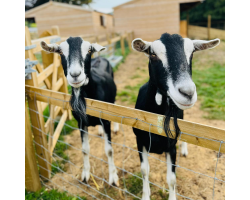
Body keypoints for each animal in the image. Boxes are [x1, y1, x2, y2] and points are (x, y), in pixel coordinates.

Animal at [40, 37, 119, 186]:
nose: (75, 75)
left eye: (89, 50)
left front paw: (113, 178)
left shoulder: (106, 121)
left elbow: (109, 150)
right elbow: (85, 150)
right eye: (60, 52)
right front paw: (85, 175)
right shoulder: (81, 123)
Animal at [131, 33, 219, 199]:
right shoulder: (140, 141)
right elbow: (144, 171)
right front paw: (146, 195)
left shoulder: (171, 146)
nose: (188, 93)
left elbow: (171, 179)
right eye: (152, 54)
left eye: (192, 53)